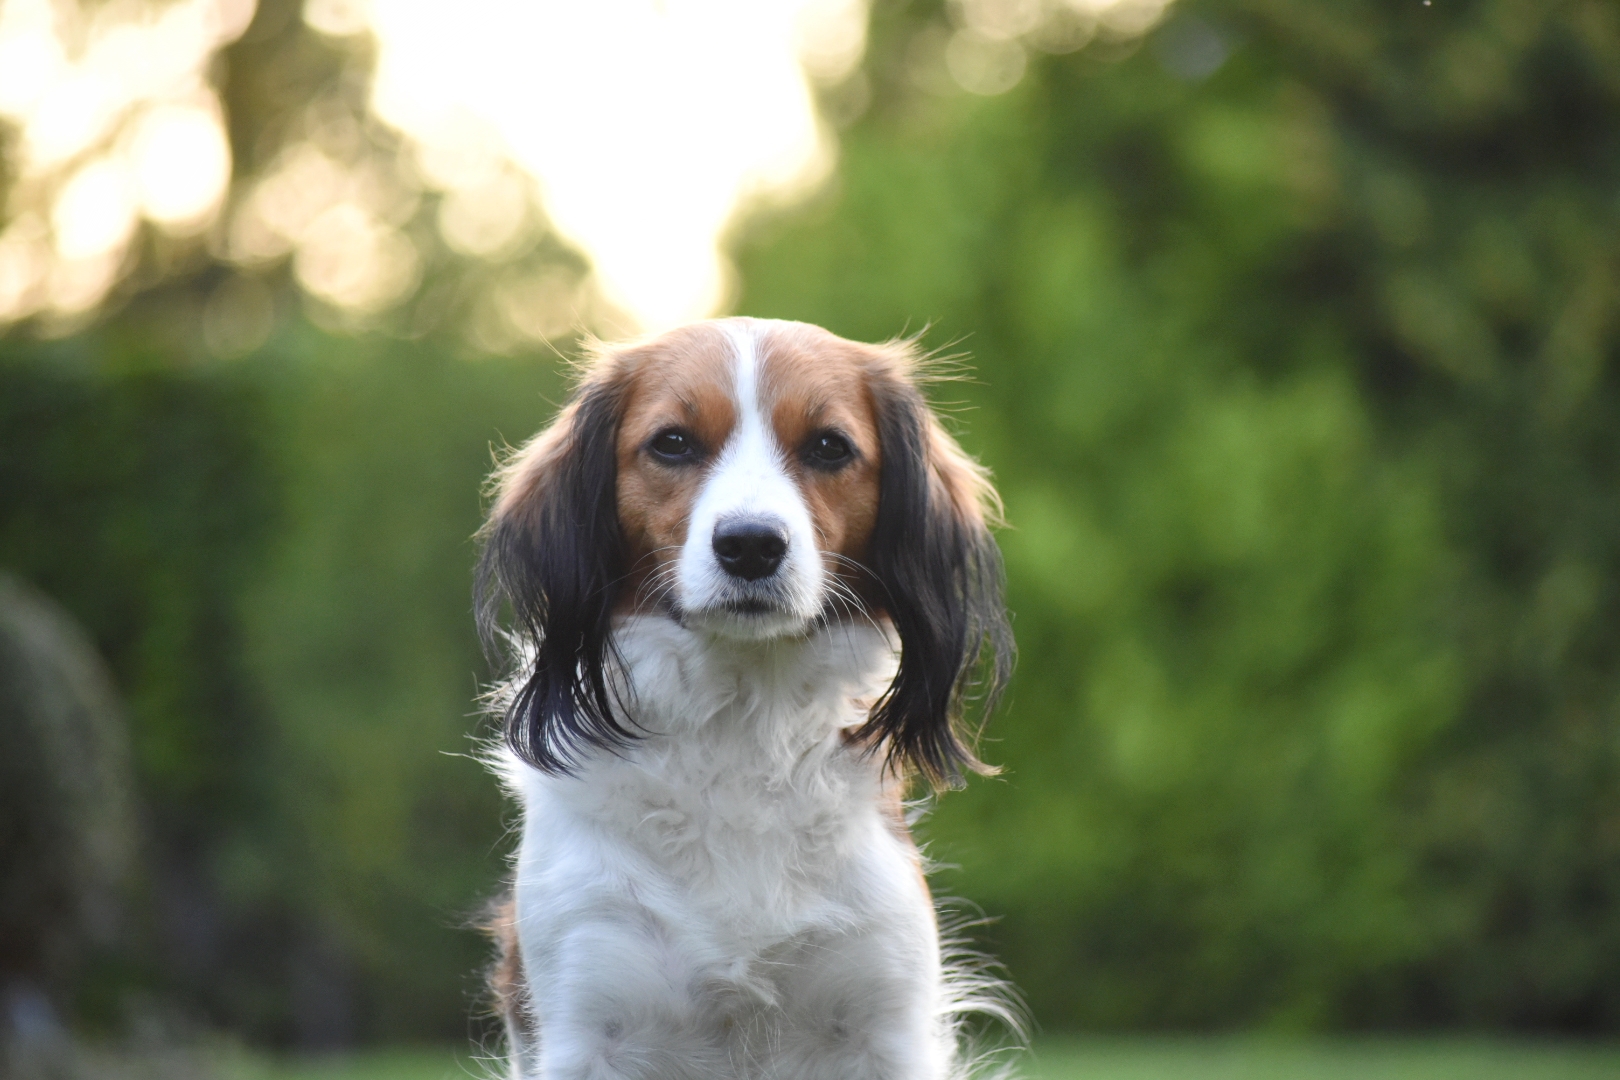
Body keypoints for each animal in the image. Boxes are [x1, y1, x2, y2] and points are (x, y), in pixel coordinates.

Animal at [473, 318, 1017, 1080]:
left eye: (829, 446)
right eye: (672, 442)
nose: (751, 544)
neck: (743, 724)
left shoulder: (886, 1021)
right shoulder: (588, 1013)